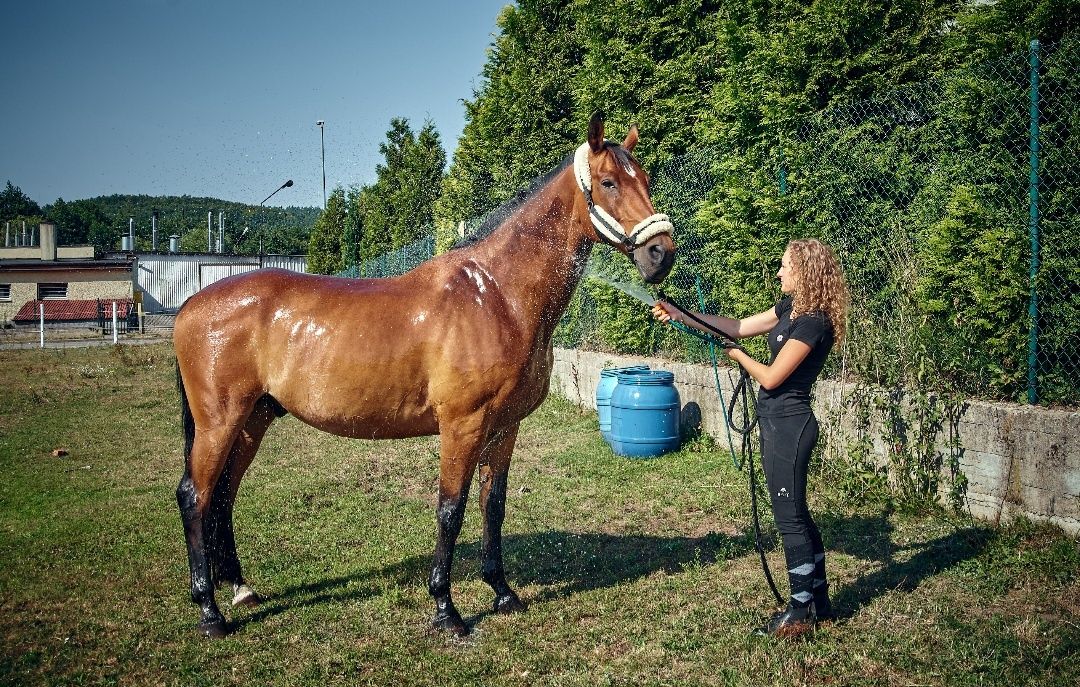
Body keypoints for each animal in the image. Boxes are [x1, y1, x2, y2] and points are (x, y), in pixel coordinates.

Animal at [172, 112, 669, 639]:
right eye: (609, 182)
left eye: (646, 179)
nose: (662, 253)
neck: (495, 294)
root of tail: (192, 304)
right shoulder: (462, 426)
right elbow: (451, 509)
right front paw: (447, 610)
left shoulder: (505, 428)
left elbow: (492, 506)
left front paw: (502, 593)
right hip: (220, 422)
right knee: (195, 496)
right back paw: (210, 612)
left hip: (254, 419)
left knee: (222, 495)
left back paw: (240, 589)